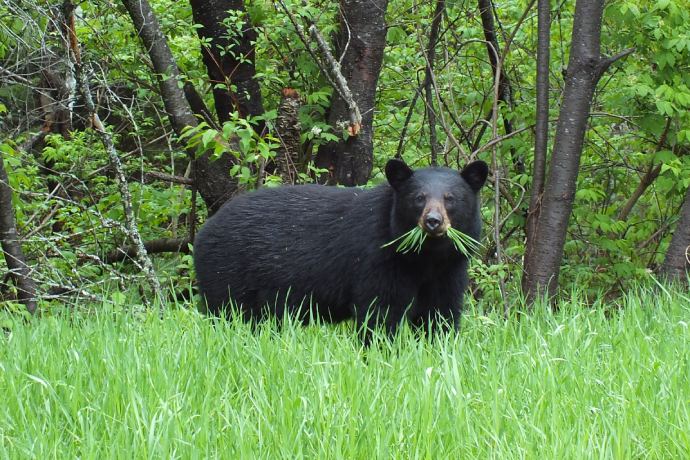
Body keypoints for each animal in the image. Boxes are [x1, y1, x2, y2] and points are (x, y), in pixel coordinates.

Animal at [191, 160, 486, 340]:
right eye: (419, 198)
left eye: (451, 198)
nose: (433, 221)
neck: (425, 257)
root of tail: (203, 231)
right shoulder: (378, 258)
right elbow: (380, 310)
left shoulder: (449, 268)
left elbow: (440, 311)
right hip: (227, 272)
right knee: (227, 313)